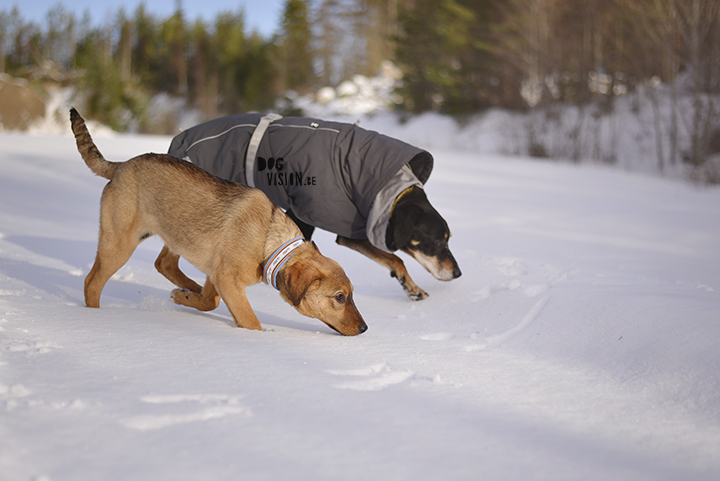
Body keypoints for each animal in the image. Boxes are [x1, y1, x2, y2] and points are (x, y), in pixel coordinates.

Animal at [70, 108, 368, 334]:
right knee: (92, 282)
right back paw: (95, 317)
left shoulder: (218, 271)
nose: (364, 328)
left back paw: (188, 286)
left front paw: (185, 296)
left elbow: (210, 301)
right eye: (340, 297)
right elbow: (250, 321)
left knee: (163, 262)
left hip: (177, 230)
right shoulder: (227, 278)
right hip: (119, 242)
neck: (270, 244)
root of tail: (121, 165)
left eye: (352, 294)